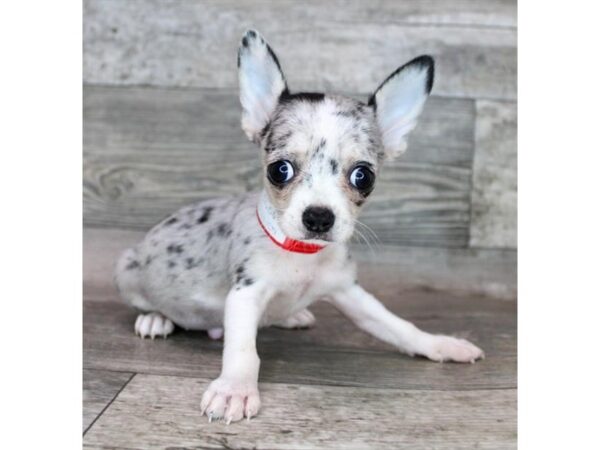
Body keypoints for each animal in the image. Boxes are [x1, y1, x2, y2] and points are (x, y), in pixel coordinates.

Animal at [115, 29, 486, 424]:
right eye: (280, 170)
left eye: (363, 176)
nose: (319, 216)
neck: (301, 256)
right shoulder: (246, 295)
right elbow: (243, 351)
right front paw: (235, 389)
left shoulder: (351, 294)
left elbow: (398, 326)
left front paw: (439, 343)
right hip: (127, 270)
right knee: (151, 306)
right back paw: (155, 319)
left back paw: (290, 316)